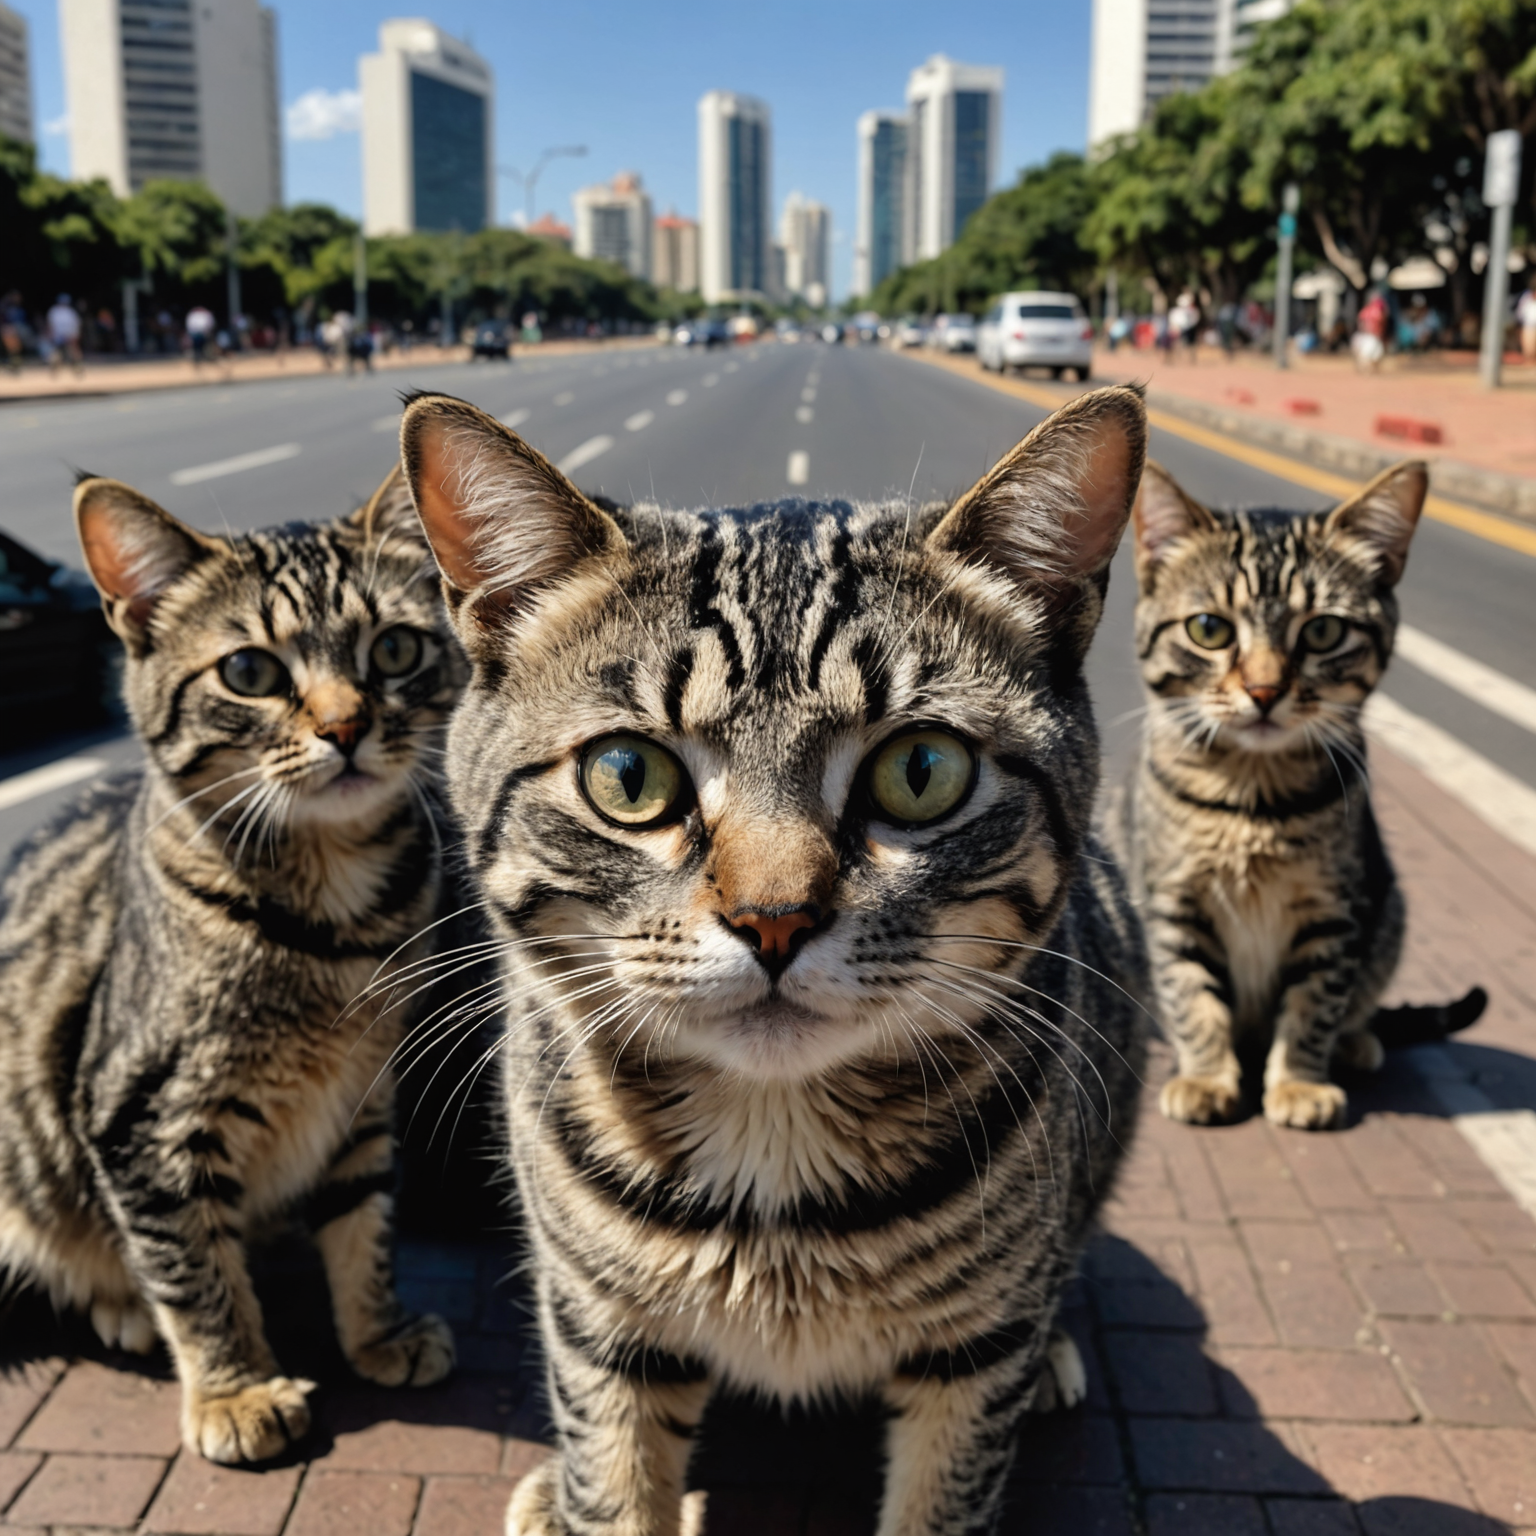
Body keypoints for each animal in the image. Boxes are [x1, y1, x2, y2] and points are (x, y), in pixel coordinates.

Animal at [0, 466, 460, 1462]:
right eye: (250, 673)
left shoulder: (361, 1097)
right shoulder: (141, 1117)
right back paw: (125, 1305)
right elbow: (194, 1268)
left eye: (396, 649)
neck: (335, 923)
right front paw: (234, 1389)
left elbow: (365, 1226)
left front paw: (378, 1332)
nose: (347, 726)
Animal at [399, 387, 1155, 1536]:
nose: (773, 920)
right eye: (628, 775)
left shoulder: (969, 1365)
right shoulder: (599, 1335)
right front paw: (587, 1496)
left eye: (921, 770)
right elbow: (614, 1484)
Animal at [1124, 454, 1480, 1130]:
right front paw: (1205, 1076)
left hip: (1389, 907)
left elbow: (1314, 1005)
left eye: (1322, 634)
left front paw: (1298, 1083)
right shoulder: (1173, 902)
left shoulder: (1333, 911)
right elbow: (1192, 997)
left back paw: (1356, 1042)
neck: (1253, 800)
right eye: (1209, 629)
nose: (1264, 691)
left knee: (1358, 1003)